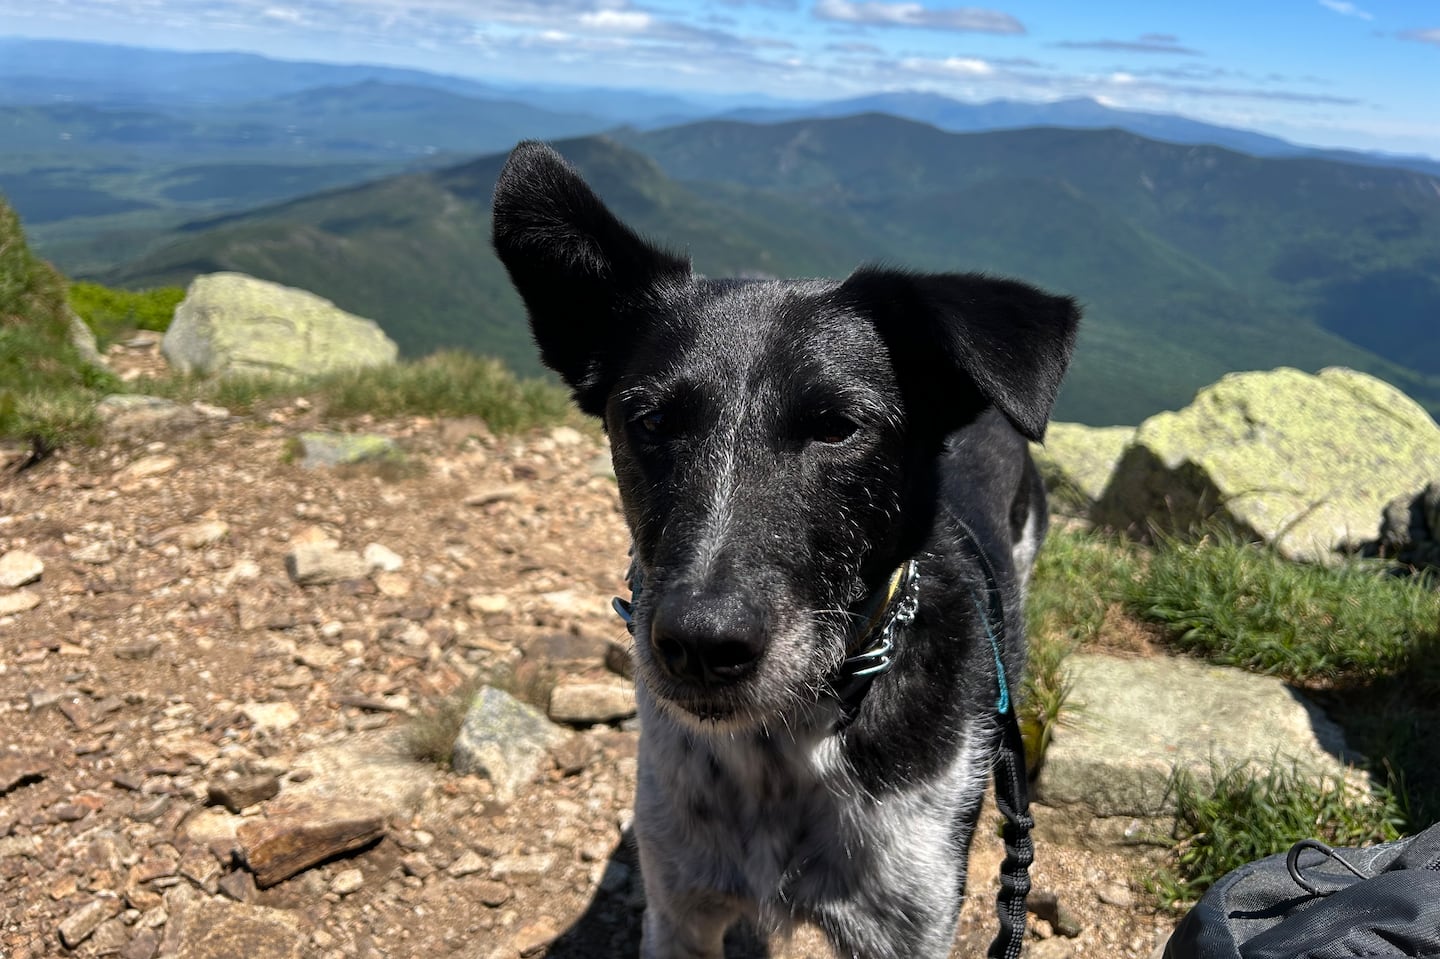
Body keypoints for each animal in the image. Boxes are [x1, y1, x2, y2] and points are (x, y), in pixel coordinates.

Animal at [489, 141, 1077, 956]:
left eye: (836, 426)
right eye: (652, 420)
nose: (701, 645)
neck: (785, 740)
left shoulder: (911, 925)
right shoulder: (679, 912)